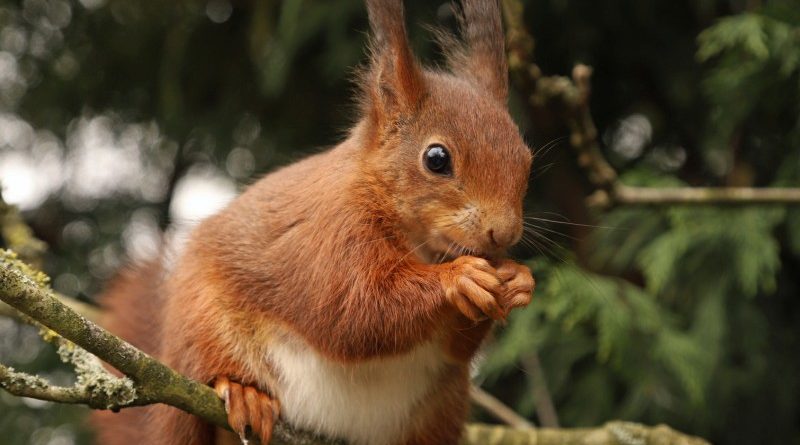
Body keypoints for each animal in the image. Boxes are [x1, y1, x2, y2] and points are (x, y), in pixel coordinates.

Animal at [92, 0, 534, 444]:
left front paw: (518, 280)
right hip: (201, 328)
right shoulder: (331, 235)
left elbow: (452, 349)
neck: (421, 242)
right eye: (436, 159)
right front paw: (459, 278)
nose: (503, 233)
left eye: (526, 159)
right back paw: (243, 392)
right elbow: (356, 310)